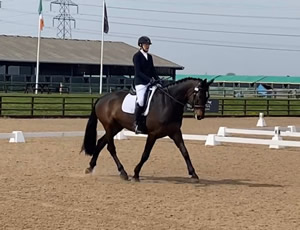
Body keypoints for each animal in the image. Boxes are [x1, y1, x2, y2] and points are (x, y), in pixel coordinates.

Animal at [81, 77, 213, 181]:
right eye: (199, 95)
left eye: (207, 96)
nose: (200, 116)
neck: (168, 103)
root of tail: (101, 98)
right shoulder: (153, 134)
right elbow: (145, 154)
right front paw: (136, 174)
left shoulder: (175, 132)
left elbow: (185, 152)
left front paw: (193, 174)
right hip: (109, 126)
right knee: (110, 148)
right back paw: (123, 172)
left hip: (116, 127)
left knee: (100, 143)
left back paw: (89, 168)